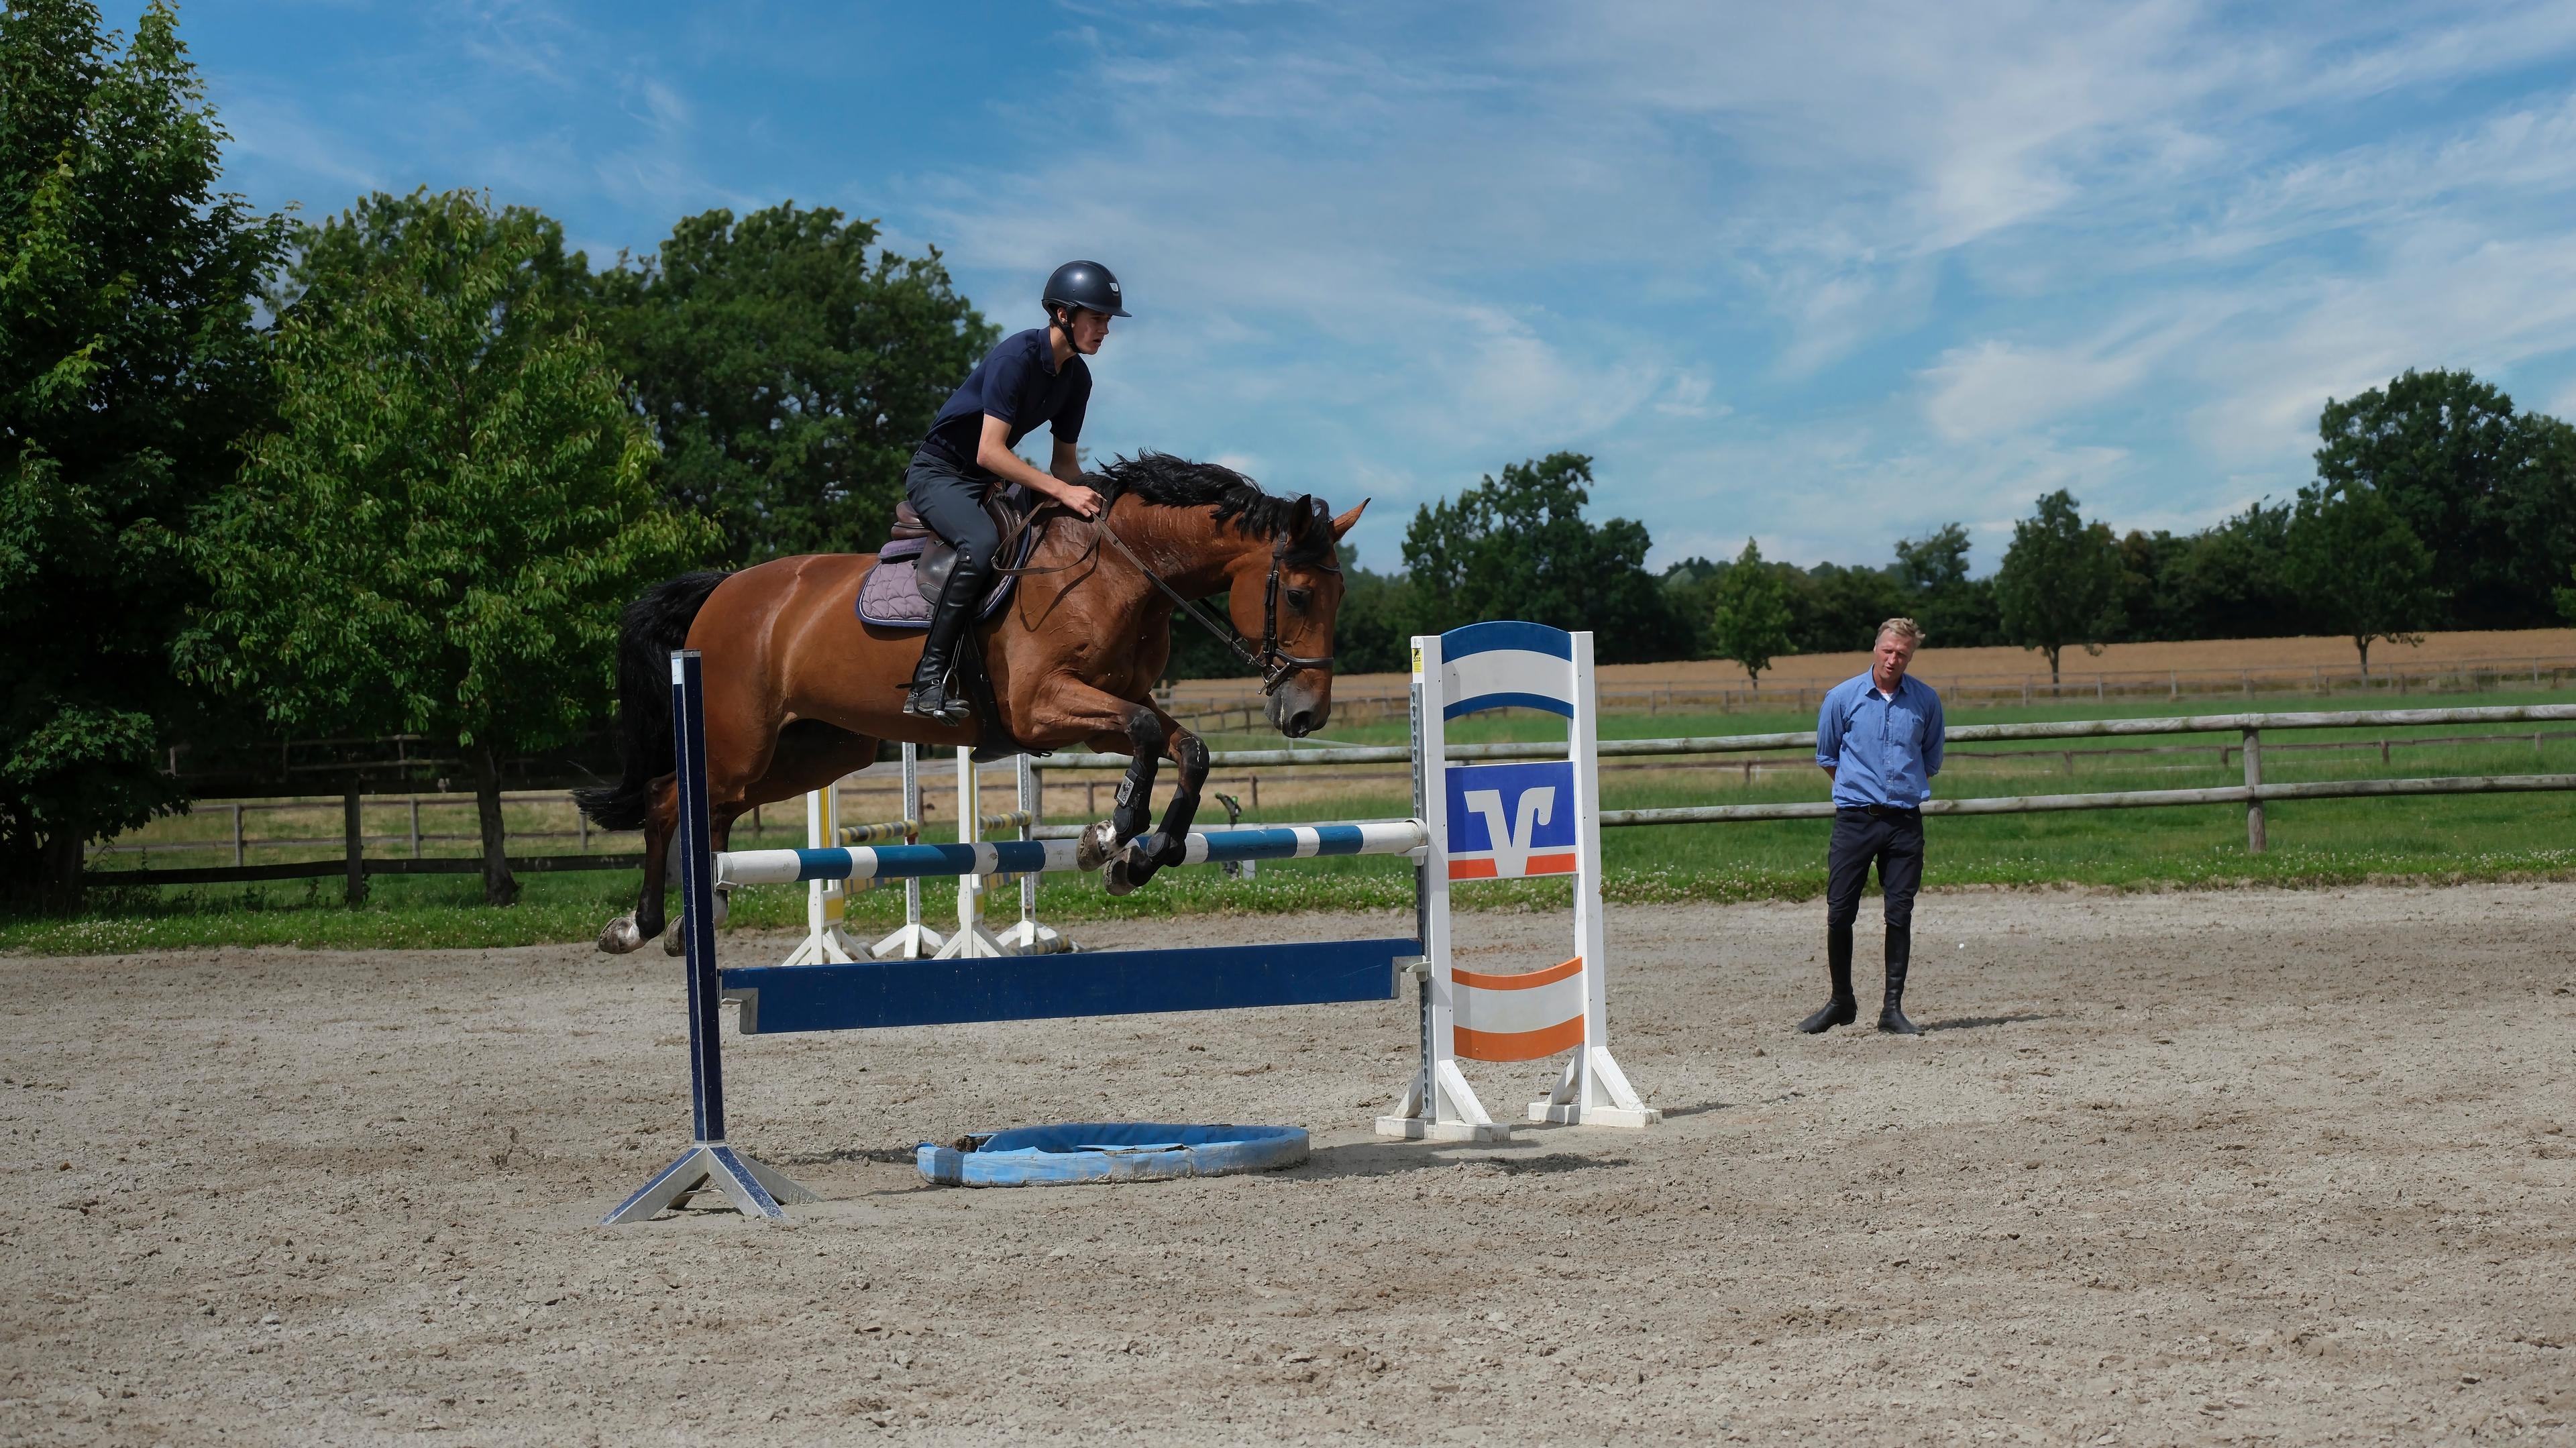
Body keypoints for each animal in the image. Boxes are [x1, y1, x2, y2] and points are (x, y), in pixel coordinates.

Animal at [572, 451, 1360, 948]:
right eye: (1297, 594)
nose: (1307, 713)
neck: (1120, 571)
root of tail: (720, 590)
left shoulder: (1099, 706)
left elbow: (1186, 747)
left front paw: (1141, 858)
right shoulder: (1042, 706)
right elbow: (1142, 733)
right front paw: (1108, 837)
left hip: (813, 750)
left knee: (711, 808)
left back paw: (695, 915)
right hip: (740, 742)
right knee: (670, 800)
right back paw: (640, 925)